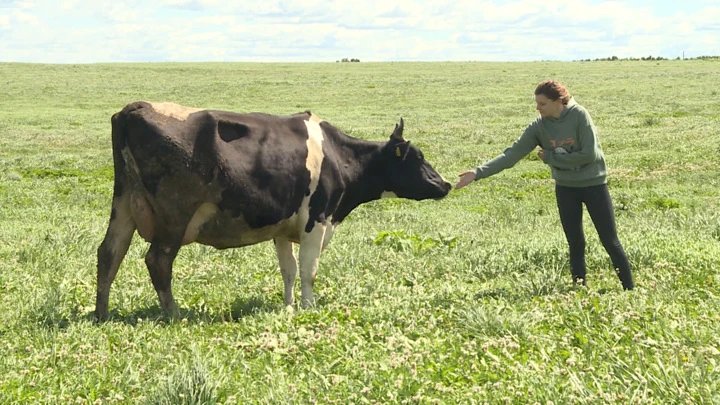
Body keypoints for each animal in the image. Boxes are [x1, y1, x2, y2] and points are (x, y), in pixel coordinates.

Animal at [95, 101, 450, 318]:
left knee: (109, 253)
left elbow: (288, 270)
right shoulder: (316, 221)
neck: (338, 156)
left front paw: (289, 305)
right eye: (418, 158)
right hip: (175, 215)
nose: (445, 184)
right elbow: (308, 269)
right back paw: (175, 314)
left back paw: (102, 313)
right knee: (157, 260)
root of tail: (134, 108)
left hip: (122, 204)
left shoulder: (283, 226)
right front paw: (308, 306)